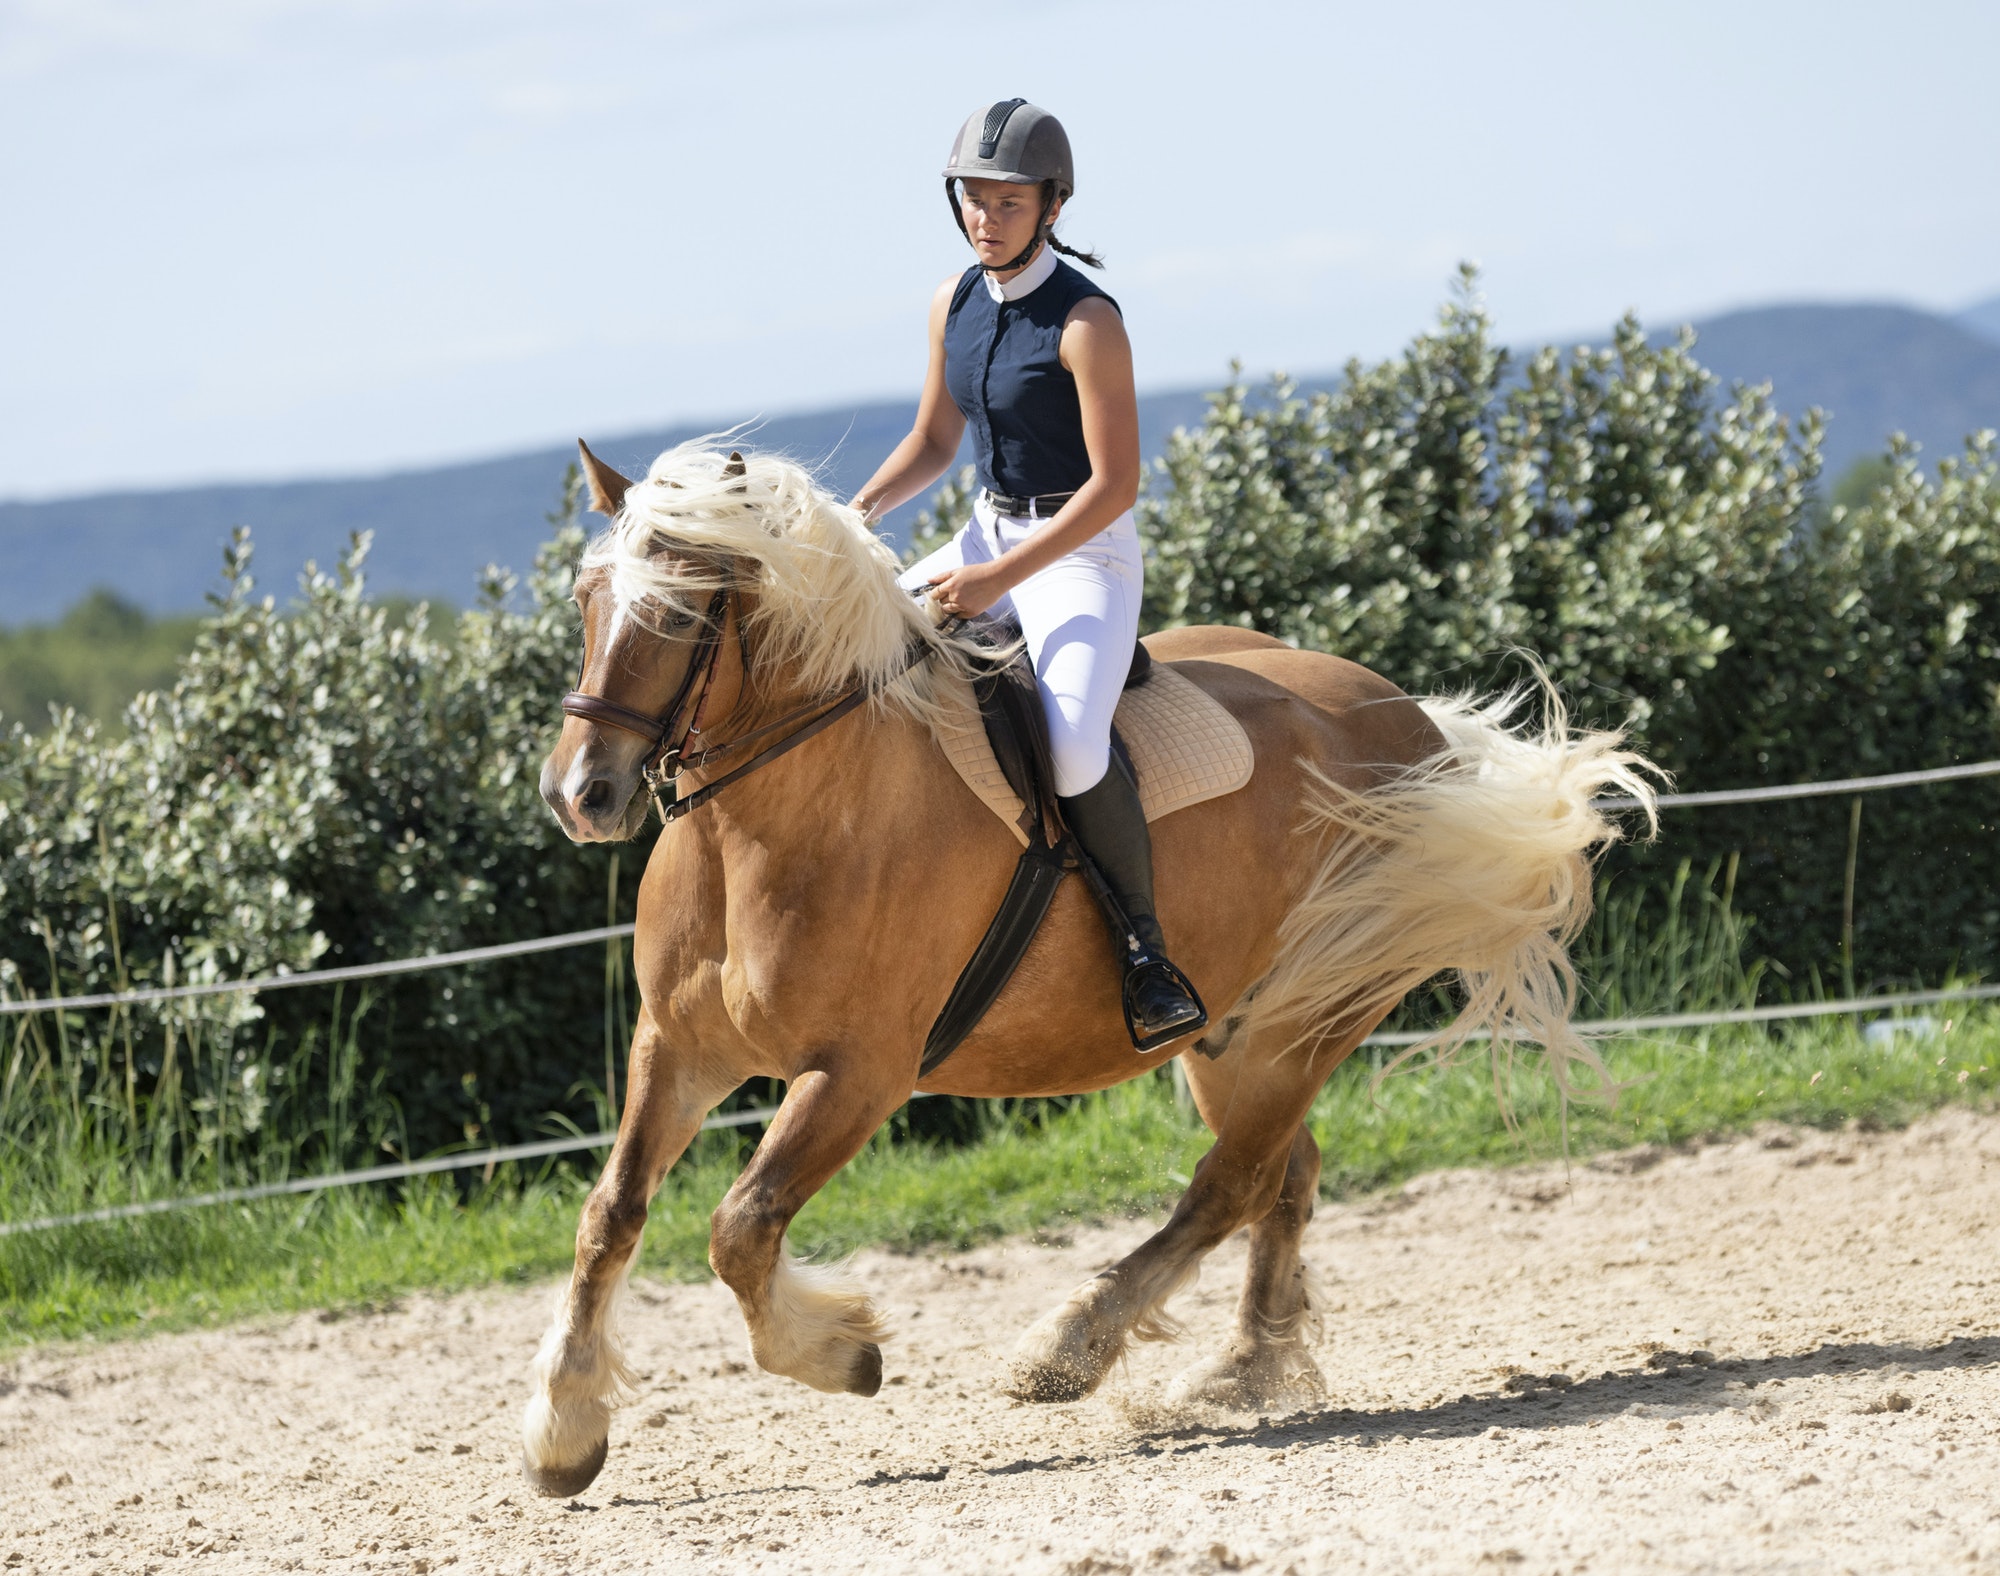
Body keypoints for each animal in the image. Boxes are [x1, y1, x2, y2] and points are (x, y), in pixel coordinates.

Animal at [520, 440, 1656, 1496]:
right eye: (585, 598)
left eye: (678, 615)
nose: (582, 795)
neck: (777, 816)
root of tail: (1411, 720)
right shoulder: (675, 1048)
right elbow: (610, 1214)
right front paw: (565, 1427)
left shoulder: (857, 1074)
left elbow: (740, 1226)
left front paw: (842, 1354)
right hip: (1230, 1029)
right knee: (1282, 1175)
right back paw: (1246, 1366)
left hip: (1316, 1009)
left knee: (1230, 1182)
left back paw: (1068, 1349)